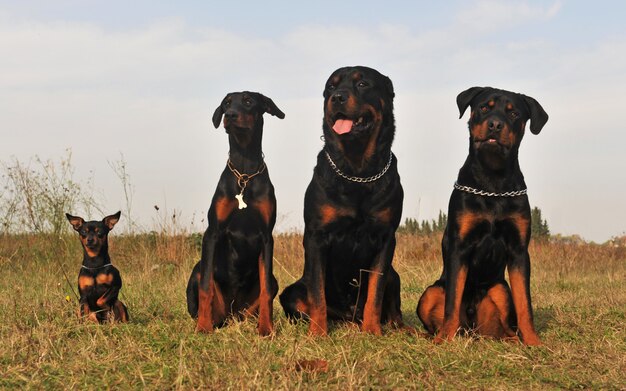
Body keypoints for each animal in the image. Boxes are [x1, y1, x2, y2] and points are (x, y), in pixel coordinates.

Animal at [185, 91, 282, 336]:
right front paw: (203, 327)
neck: (245, 172)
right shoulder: (212, 233)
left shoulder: (266, 237)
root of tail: (230, 313)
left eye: (248, 101)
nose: (229, 115)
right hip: (197, 271)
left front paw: (266, 329)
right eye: (226, 103)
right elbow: (206, 286)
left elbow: (266, 290)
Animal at [280, 66, 404, 336]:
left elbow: (375, 291)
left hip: (395, 276)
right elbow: (317, 293)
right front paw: (318, 333)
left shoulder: (386, 237)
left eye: (363, 84)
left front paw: (372, 331)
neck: (358, 169)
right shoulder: (317, 236)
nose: (337, 97)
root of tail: (348, 316)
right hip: (291, 291)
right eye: (331, 87)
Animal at [416, 86, 548, 346]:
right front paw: (444, 340)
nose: (495, 124)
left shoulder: (519, 251)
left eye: (514, 113)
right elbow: (452, 303)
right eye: (484, 107)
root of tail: (471, 330)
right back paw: (436, 335)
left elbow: (525, 304)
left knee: (504, 326)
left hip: (500, 290)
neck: (493, 182)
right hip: (431, 292)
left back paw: (513, 339)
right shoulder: (460, 246)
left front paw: (533, 341)